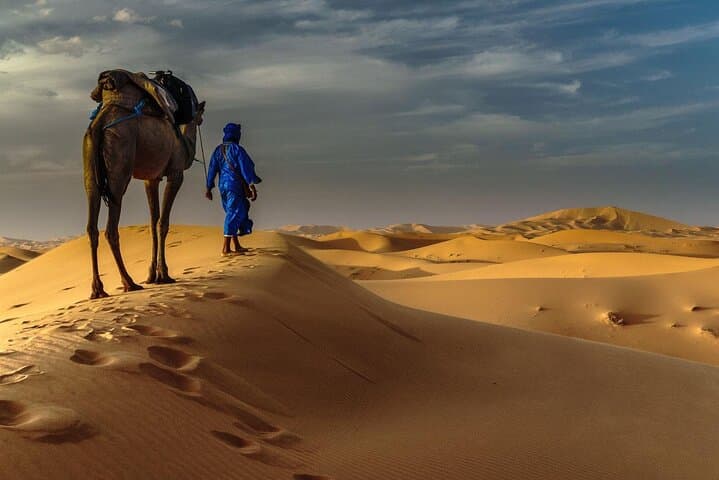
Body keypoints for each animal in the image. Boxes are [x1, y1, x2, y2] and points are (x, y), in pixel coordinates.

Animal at [83, 80, 206, 299]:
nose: (200, 119)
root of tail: (99, 123)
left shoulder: (151, 178)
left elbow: (152, 221)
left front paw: (152, 275)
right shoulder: (176, 173)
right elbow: (163, 222)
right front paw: (164, 274)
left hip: (90, 169)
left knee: (92, 227)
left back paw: (98, 289)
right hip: (118, 166)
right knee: (111, 229)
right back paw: (128, 282)